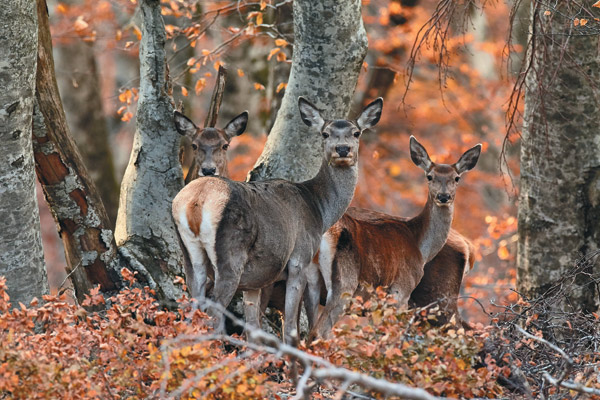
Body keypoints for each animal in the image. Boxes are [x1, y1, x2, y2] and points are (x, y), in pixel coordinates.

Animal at [171, 97, 382, 344]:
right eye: (325, 133)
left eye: (356, 133)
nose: (342, 149)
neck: (319, 210)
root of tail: (196, 202)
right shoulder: (299, 259)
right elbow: (290, 327)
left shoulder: (256, 279)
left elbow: (253, 327)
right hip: (231, 255)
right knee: (213, 313)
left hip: (190, 256)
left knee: (191, 309)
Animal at [308, 136, 480, 340]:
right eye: (429, 176)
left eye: (456, 178)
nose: (444, 196)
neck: (419, 245)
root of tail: (468, 247)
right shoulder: (400, 289)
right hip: (346, 285)